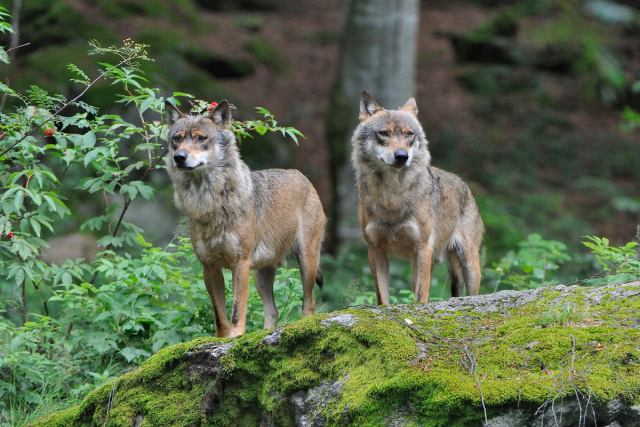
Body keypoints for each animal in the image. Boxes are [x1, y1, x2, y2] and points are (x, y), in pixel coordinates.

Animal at [165, 99, 324, 338]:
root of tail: (302, 176)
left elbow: (237, 311)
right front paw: (221, 340)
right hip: (260, 275)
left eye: (201, 138)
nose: (179, 158)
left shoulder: (240, 264)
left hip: (306, 262)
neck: (210, 202)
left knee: (309, 302)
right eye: (177, 139)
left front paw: (236, 337)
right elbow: (219, 316)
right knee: (274, 311)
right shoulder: (209, 269)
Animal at [352, 91, 482, 304]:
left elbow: (421, 297)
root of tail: (463, 184)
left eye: (409, 134)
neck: (392, 195)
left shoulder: (423, 248)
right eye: (384, 133)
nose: (402, 156)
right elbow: (382, 297)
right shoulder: (376, 250)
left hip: (468, 264)